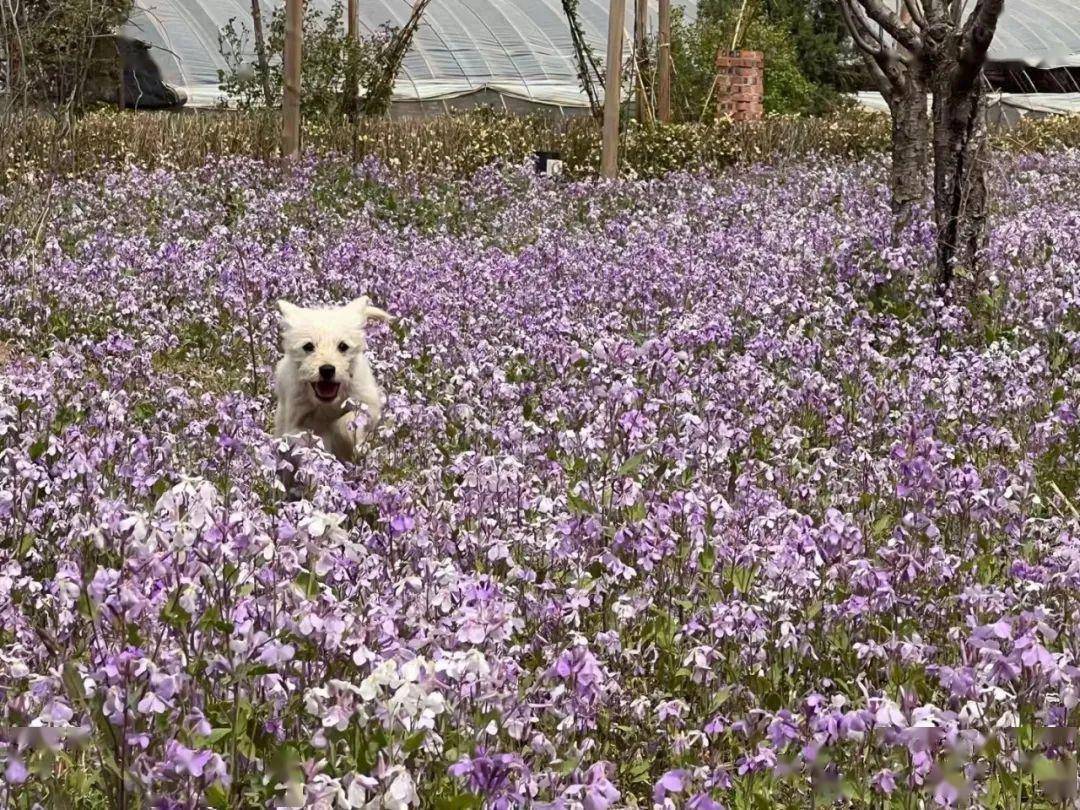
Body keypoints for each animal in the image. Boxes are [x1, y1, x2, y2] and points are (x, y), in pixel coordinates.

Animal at [274, 295, 393, 462]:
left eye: (343, 346)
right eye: (308, 346)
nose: (327, 370)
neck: (327, 405)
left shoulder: (368, 406)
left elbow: (345, 423)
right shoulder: (294, 421)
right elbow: (308, 439)